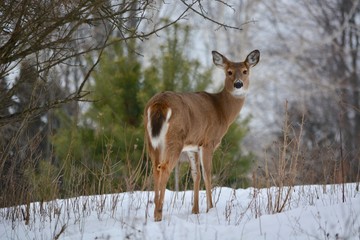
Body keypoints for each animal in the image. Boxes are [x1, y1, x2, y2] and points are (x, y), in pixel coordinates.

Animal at [143, 49, 258, 221]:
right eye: (229, 72)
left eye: (245, 71)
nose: (238, 84)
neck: (222, 110)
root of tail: (159, 104)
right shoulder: (208, 142)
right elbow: (207, 174)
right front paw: (210, 208)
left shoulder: (192, 146)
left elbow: (195, 174)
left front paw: (195, 210)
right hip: (175, 139)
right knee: (164, 168)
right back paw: (159, 214)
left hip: (152, 140)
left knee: (155, 167)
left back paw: (154, 211)